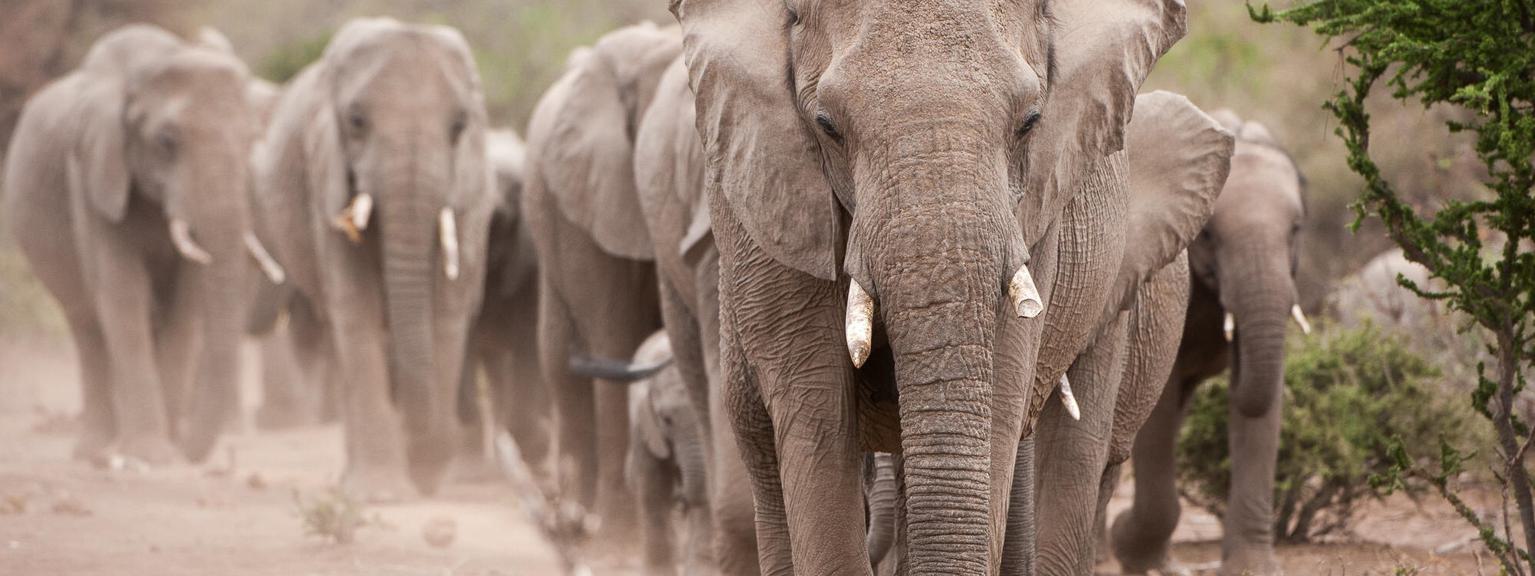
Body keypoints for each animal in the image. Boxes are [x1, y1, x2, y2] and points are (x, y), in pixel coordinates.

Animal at [3, 24, 273, 465]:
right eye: (167, 140)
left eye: (251, 139)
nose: (190, 452)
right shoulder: (93, 173)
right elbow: (122, 294)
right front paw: (152, 453)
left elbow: (185, 307)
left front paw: (166, 450)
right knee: (88, 327)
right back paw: (97, 449)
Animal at [248, 18, 496, 500]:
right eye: (357, 121)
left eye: (460, 125)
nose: (426, 459)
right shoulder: (324, 178)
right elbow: (356, 307)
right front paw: (382, 493)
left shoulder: (468, 195)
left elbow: (447, 312)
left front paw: (424, 474)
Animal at [671, 0, 1231, 573]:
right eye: (827, 126)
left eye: (1030, 121)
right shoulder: (774, 193)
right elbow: (816, 409)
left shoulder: (1034, 212)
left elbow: (1001, 396)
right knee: (761, 444)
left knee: (1074, 447)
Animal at [1110, 112, 1308, 575]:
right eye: (1209, 236)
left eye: (1296, 230)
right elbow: (1160, 403)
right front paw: (1127, 544)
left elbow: (1260, 407)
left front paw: (1252, 568)